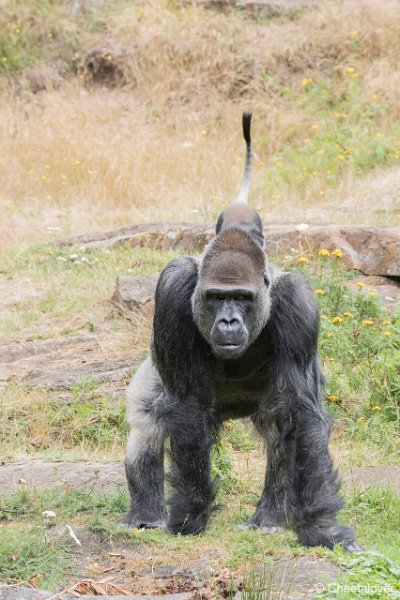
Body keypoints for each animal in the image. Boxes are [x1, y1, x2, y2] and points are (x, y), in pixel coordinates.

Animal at [121, 112, 360, 552]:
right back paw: (145, 513)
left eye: (242, 298)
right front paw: (191, 513)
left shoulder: (298, 301)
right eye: (216, 297)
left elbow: (301, 416)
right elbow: (187, 409)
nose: (229, 321)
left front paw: (321, 527)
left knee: (280, 432)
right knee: (148, 422)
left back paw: (269, 518)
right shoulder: (173, 287)